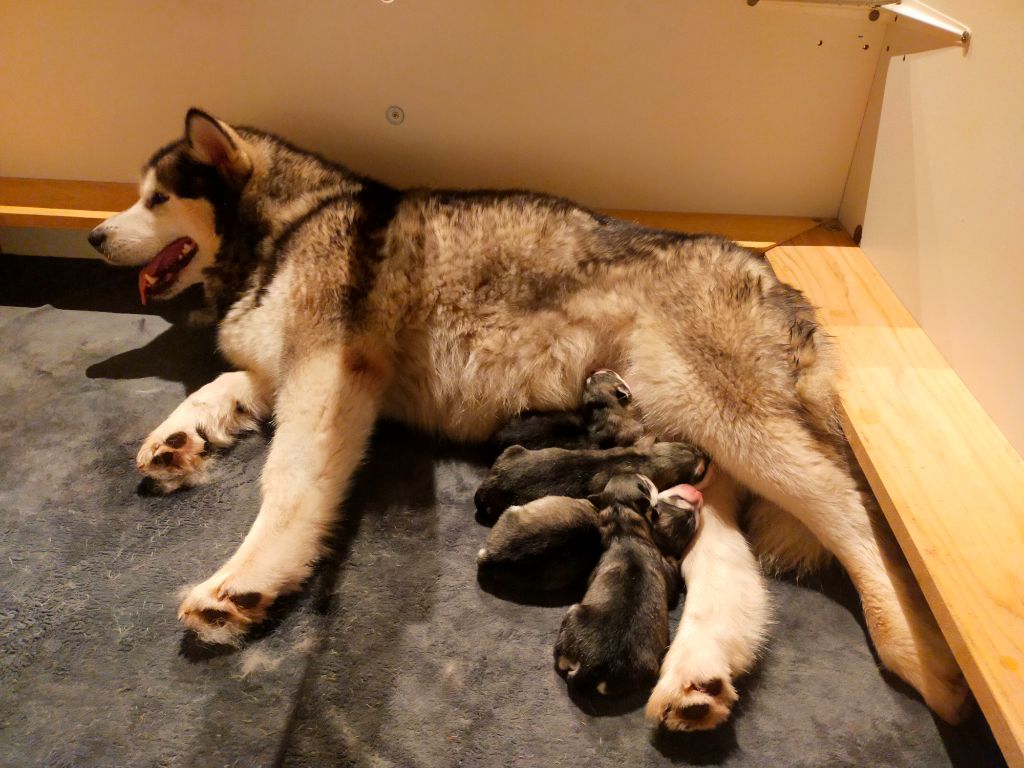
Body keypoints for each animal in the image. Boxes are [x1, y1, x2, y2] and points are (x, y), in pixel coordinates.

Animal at [473, 438, 708, 524]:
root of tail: (486, 488)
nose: (708, 456)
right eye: (699, 473)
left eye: (690, 446)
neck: (645, 458)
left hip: (512, 450)